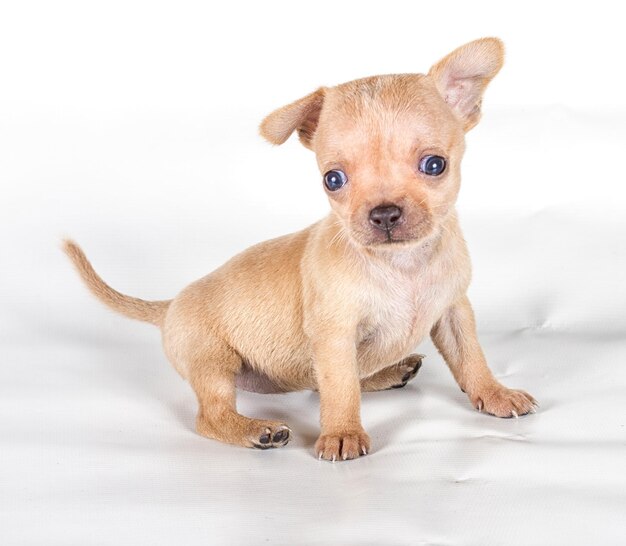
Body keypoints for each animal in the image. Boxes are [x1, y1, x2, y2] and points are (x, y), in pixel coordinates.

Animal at [64, 37, 536, 460]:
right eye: (333, 180)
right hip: (213, 361)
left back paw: (389, 371)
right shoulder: (335, 335)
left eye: (434, 165)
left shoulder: (454, 311)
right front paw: (343, 433)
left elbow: (471, 359)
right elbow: (340, 388)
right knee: (212, 415)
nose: (383, 213)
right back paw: (255, 429)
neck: (402, 265)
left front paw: (494, 393)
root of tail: (170, 305)